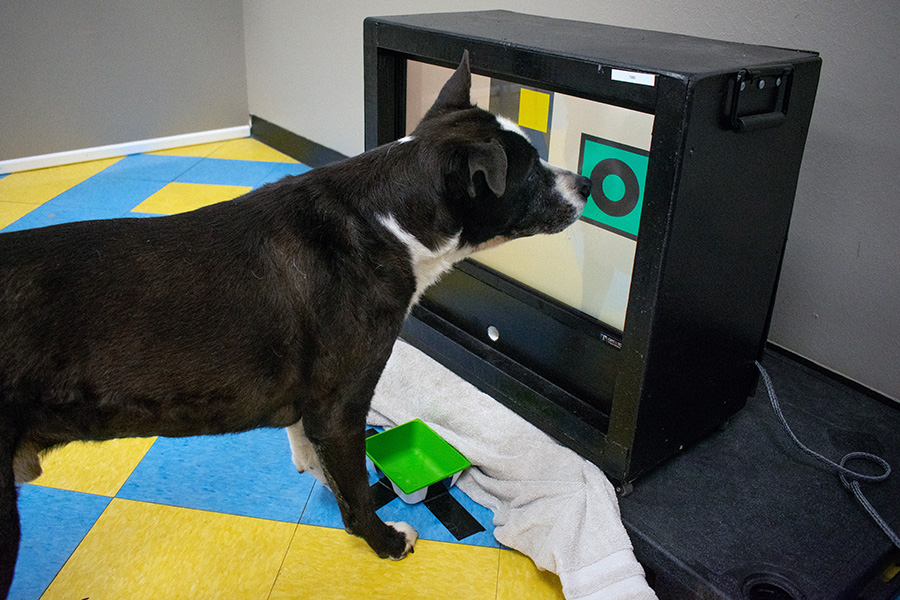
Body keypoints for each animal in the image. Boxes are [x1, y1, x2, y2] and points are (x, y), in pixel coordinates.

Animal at [0, 51, 592, 596]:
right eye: (531, 171)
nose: (586, 183)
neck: (390, 221)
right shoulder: (342, 406)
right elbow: (356, 495)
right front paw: (384, 541)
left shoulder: (314, 407)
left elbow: (313, 452)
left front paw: (318, 475)